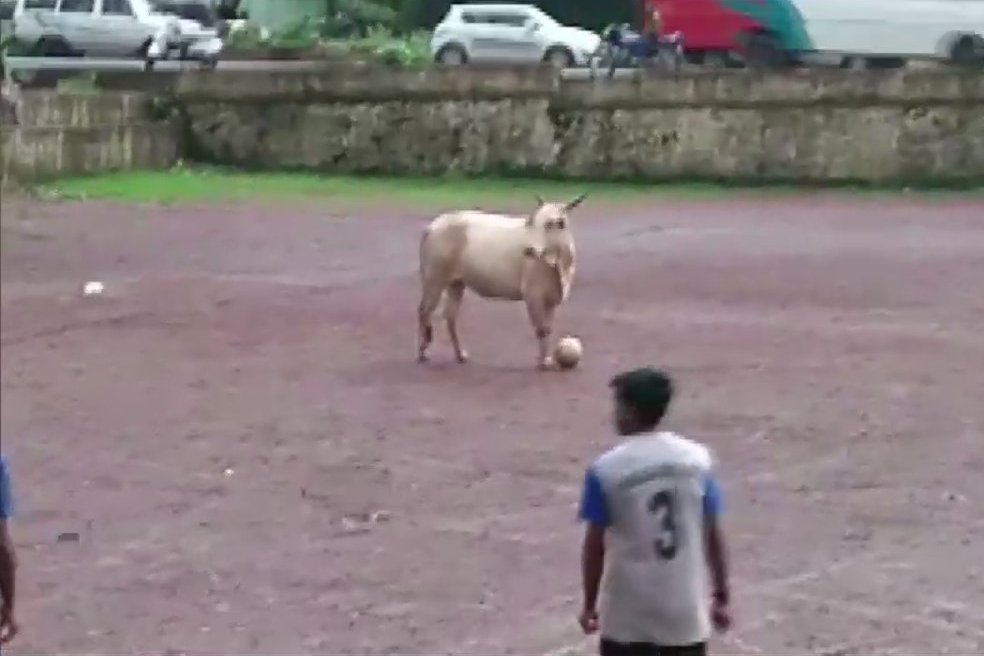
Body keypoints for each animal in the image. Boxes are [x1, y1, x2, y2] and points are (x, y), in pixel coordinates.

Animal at [416, 193, 584, 368]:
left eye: (553, 223)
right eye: (532, 222)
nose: (529, 250)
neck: (557, 262)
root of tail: (433, 225)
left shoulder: (550, 300)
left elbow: (548, 329)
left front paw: (546, 359)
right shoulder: (533, 296)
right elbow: (541, 329)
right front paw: (543, 362)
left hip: (456, 283)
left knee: (450, 317)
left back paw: (460, 355)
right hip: (434, 279)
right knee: (424, 310)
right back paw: (423, 352)